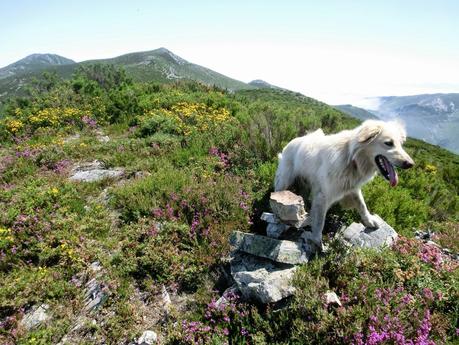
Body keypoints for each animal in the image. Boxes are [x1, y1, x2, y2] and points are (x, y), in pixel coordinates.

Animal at [274, 119, 416, 249]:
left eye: (400, 145)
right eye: (388, 143)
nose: (410, 164)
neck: (351, 159)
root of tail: (293, 140)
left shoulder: (352, 187)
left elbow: (362, 204)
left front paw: (369, 220)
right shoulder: (323, 196)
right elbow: (320, 221)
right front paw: (317, 241)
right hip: (284, 180)